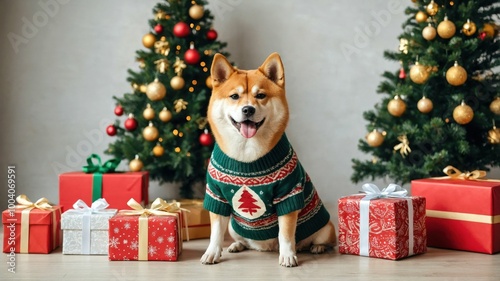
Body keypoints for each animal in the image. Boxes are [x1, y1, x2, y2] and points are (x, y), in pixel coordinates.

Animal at [200, 53, 336, 266]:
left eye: (261, 95)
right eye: (234, 96)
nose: (248, 109)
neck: (247, 155)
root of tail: (266, 248)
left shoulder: (288, 194)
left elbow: (286, 234)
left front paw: (288, 255)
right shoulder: (216, 195)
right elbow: (215, 233)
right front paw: (212, 252)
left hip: (325, 228)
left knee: (319, 240)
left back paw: (315, 247)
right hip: (233, 226)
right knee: (242, 240)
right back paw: (237, 245)